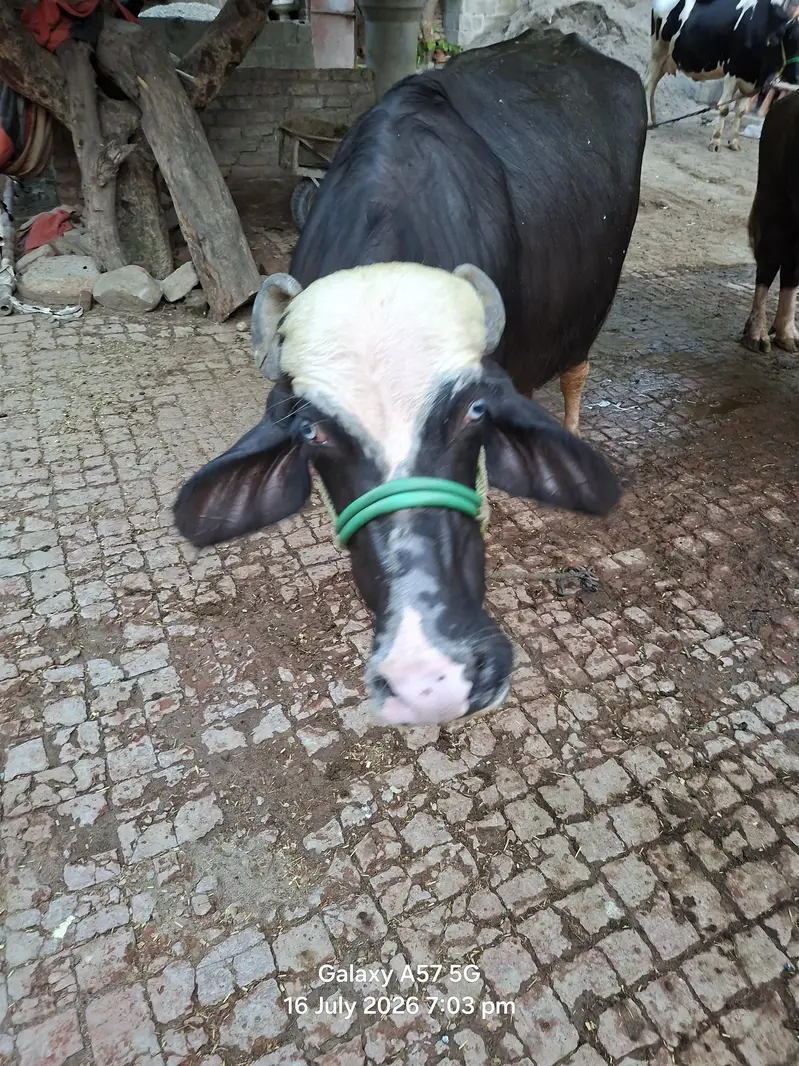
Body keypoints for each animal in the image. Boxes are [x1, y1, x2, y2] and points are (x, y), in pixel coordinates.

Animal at [645, 0, 799, 150]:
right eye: (792, 38)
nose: (797, 77)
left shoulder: (750, 80)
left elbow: (741, 112)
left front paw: (734, 142)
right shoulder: (732, 72)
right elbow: (724, 109)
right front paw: (715, 140)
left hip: (667, 58)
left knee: (653, 83)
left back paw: (653, 119)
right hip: (658, 49)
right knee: (648, 85)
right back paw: (648, 120)